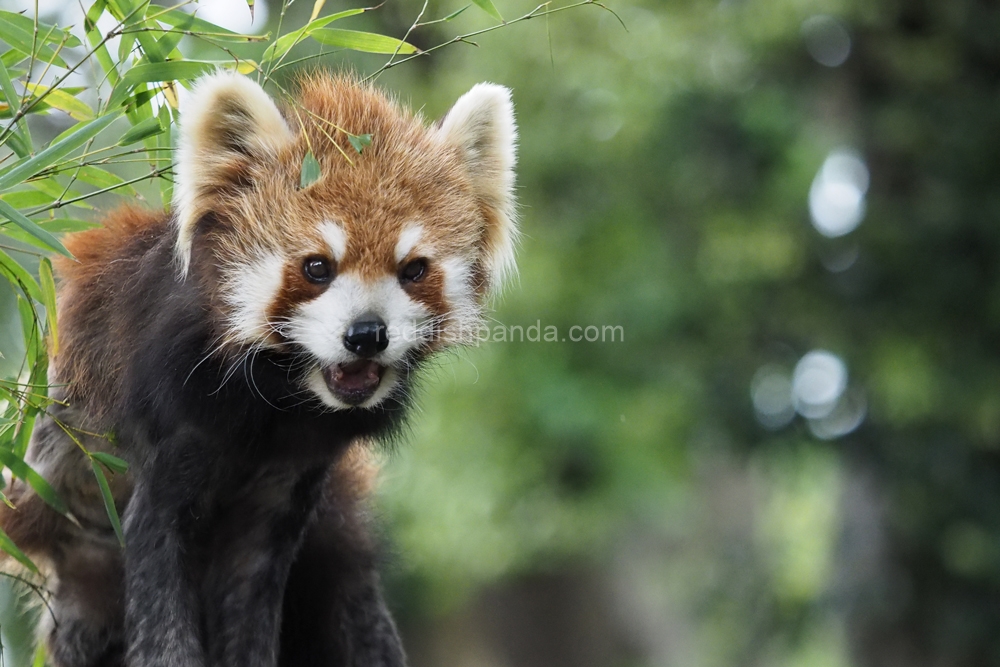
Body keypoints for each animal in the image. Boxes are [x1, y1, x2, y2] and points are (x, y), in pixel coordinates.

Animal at [1, 73, 524, 667]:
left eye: (413, 270)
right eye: (317, 267)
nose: (366, 335)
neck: (274, 404)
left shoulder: (294, 478)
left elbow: (251, 590)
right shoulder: (163, 436)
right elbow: (158, 575)